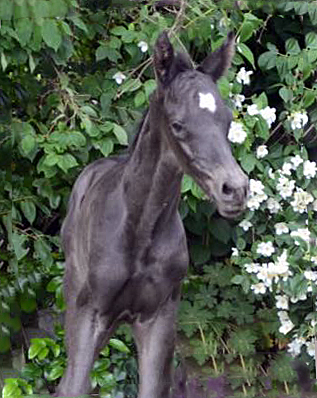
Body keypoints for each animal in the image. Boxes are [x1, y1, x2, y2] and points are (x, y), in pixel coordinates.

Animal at [53, 31, 247, 398]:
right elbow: (75, 385)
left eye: (228, 121)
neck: (139, 229)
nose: (236, 189)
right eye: (178, 125)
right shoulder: (90, 315)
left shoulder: (159, 318)